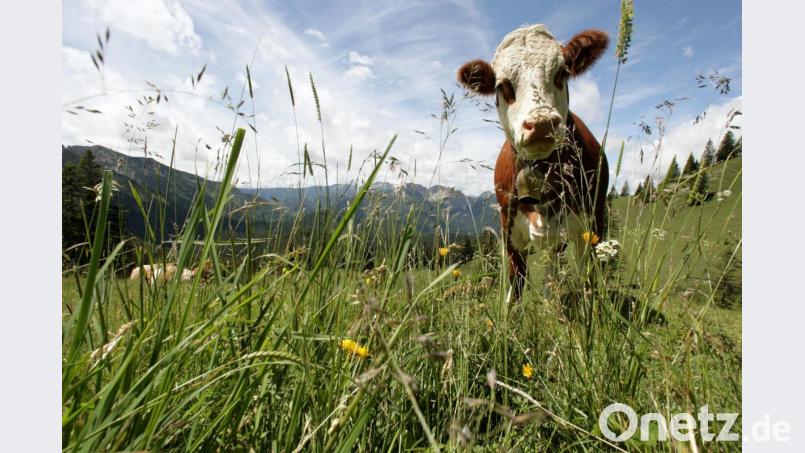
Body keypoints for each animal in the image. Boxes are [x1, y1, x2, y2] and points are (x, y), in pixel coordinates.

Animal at [457, 25, 610, 300]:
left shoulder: (590, 226)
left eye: (561, 73)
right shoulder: (508, 231)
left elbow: (588, 279)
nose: (541, 123)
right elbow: (516, 286)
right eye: (503, 85)